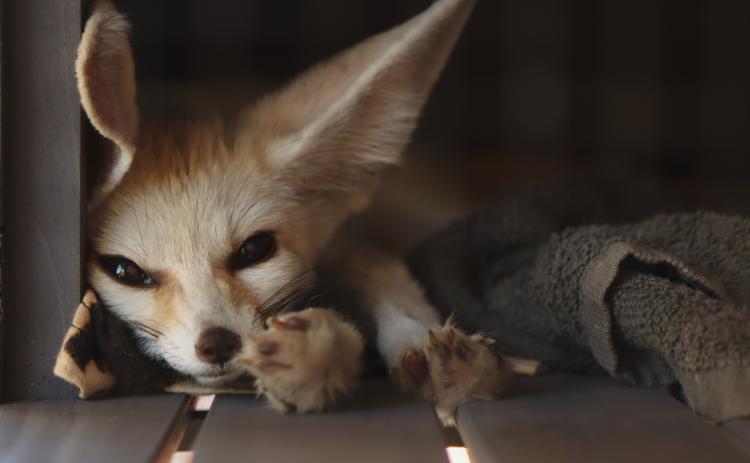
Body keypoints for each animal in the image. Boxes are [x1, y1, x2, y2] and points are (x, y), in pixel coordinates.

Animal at [79, 0, 511, 424]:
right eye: (124, 272)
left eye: (254, 251)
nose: (217, 344)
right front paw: (319, 355)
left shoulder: (343, 246)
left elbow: (385, 279)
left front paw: (423, 343)